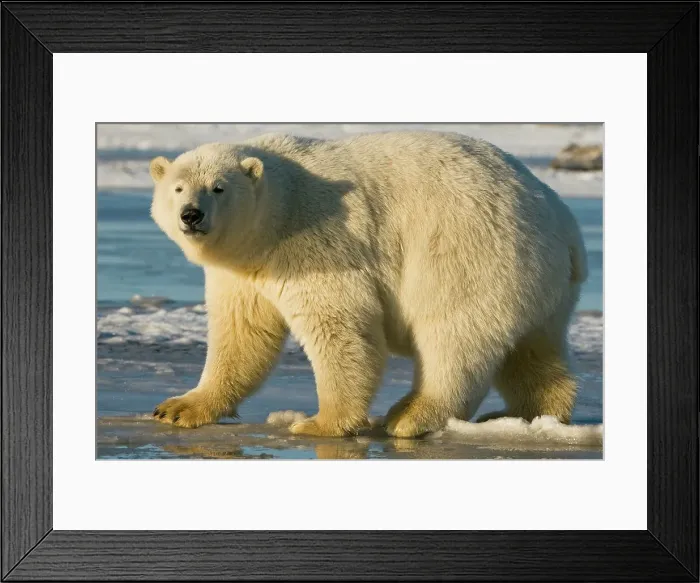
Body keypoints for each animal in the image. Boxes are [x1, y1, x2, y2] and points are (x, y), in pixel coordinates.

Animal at [148, 131, 587, 438]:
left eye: (218, 187)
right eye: (178, 187)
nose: (191, 215)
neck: (278, 209)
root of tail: (566, 227)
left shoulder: (318, 243)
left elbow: (339, 327)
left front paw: (320, 423)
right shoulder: (244, 269)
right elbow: (242, 334)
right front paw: (178, 407)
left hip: (472, 252)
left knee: (453, 335)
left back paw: (411, 416)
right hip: (541, 284)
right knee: (534, 349)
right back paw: (530, 411)